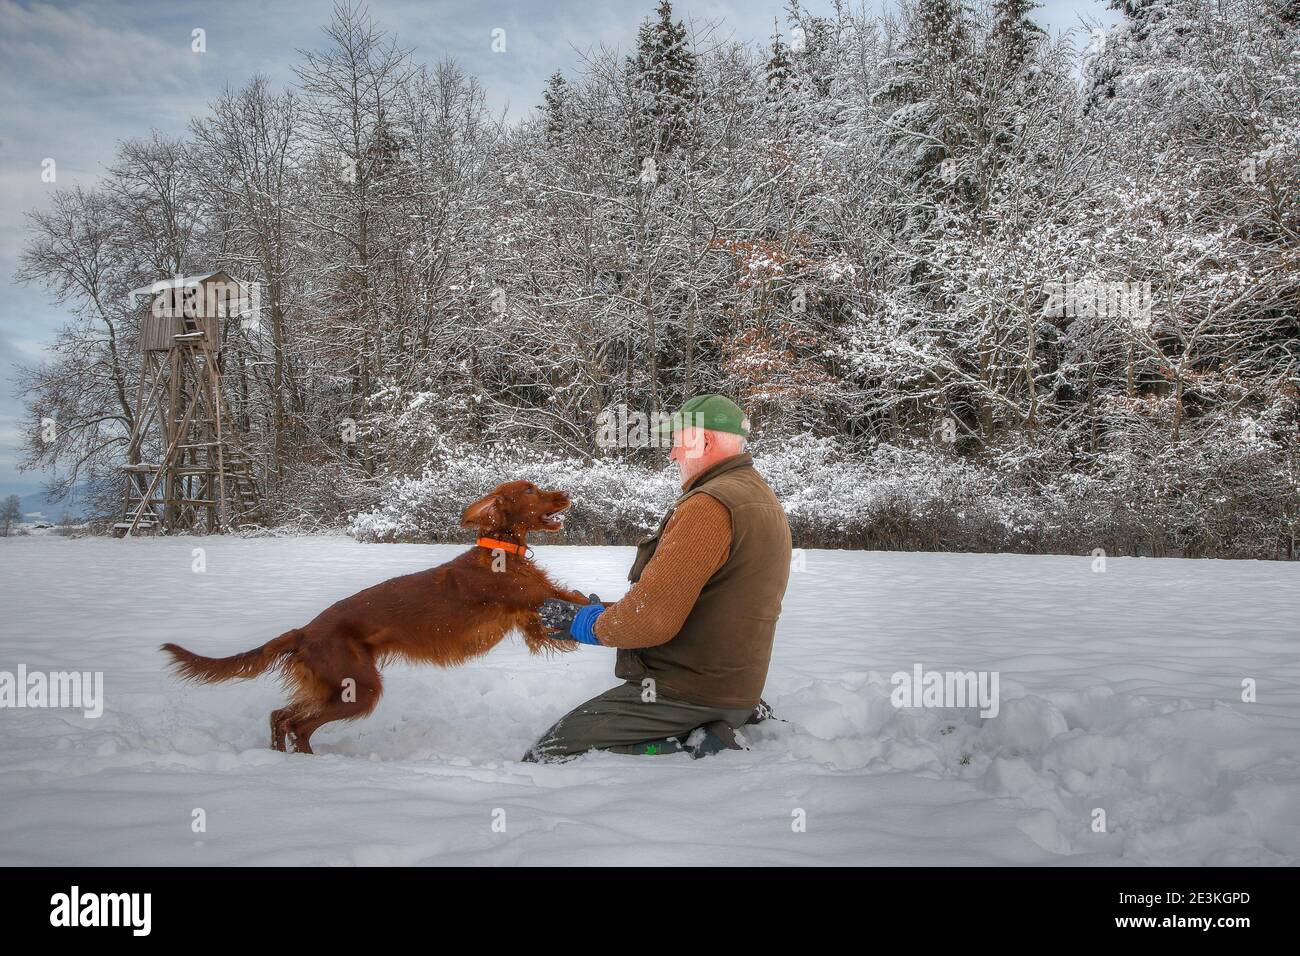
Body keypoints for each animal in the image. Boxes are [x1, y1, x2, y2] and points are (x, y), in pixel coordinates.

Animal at [161, 481, 590, 759]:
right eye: (530, 490)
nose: (566, 495)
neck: (499, 549)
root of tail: (305, 631)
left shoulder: (532, 620)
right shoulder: (531, 599)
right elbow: (583, 600)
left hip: (336, 686)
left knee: (280, 716)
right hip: (358, 687)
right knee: (297, 723)